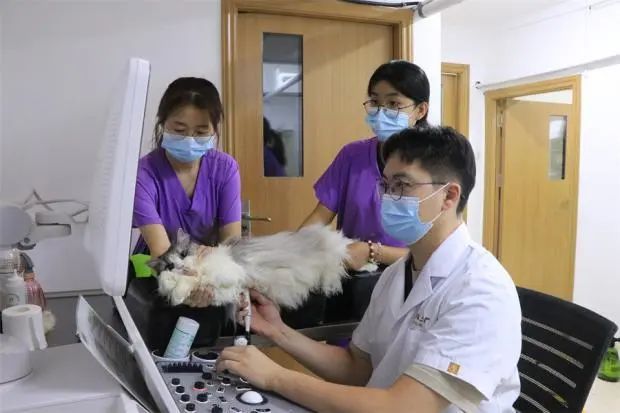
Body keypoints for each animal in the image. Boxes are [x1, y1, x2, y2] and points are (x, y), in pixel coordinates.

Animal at [149, 225, 351, 309]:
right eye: (169, 265)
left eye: (183, 254)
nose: (179, 265)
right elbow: (177, 283)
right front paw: (175, 291)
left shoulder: (230, 272)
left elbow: (200, 277)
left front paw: (179, 290)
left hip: (329, 257)